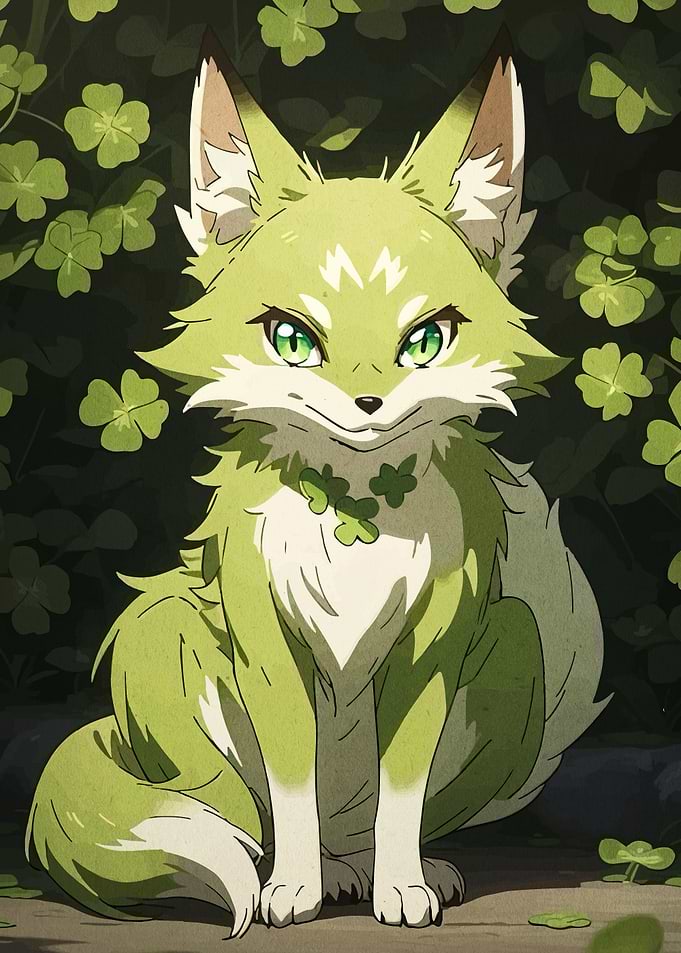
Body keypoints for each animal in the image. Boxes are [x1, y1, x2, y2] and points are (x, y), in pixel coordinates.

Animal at [26, 29, 608, 937]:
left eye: (425, 340)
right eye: (293, 340)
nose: (367, 405)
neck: (358, 516)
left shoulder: (431, 646)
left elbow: (402, 793)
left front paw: (400, 884)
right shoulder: (264, 638)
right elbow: (289, 780)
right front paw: (290, 888)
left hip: (516, 639)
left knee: (370, 824)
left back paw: (379, 871)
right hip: (162, 631)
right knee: (247, 817)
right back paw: (310, 874)